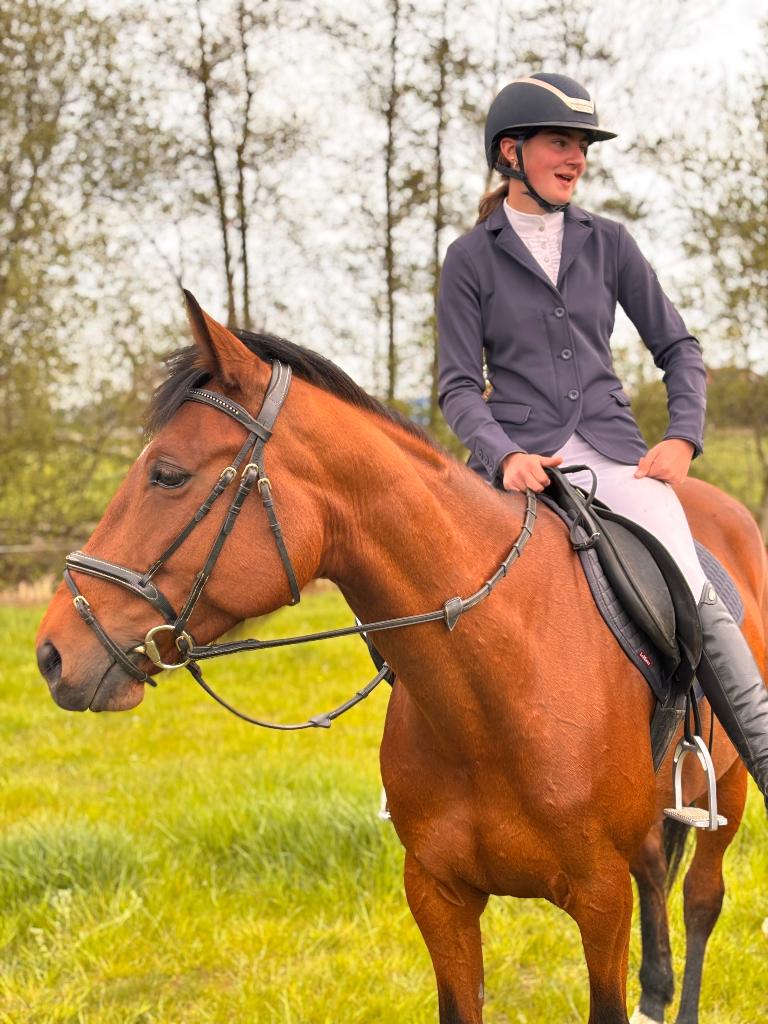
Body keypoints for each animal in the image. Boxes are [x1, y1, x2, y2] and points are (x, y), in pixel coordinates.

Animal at [36, 294, 767, 1024]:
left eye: (167, 474)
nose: (52, 654)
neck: (497, 688)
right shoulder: (438, 896)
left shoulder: (600, 901)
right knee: (658, 878)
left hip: (724, 793)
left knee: (700, 901)